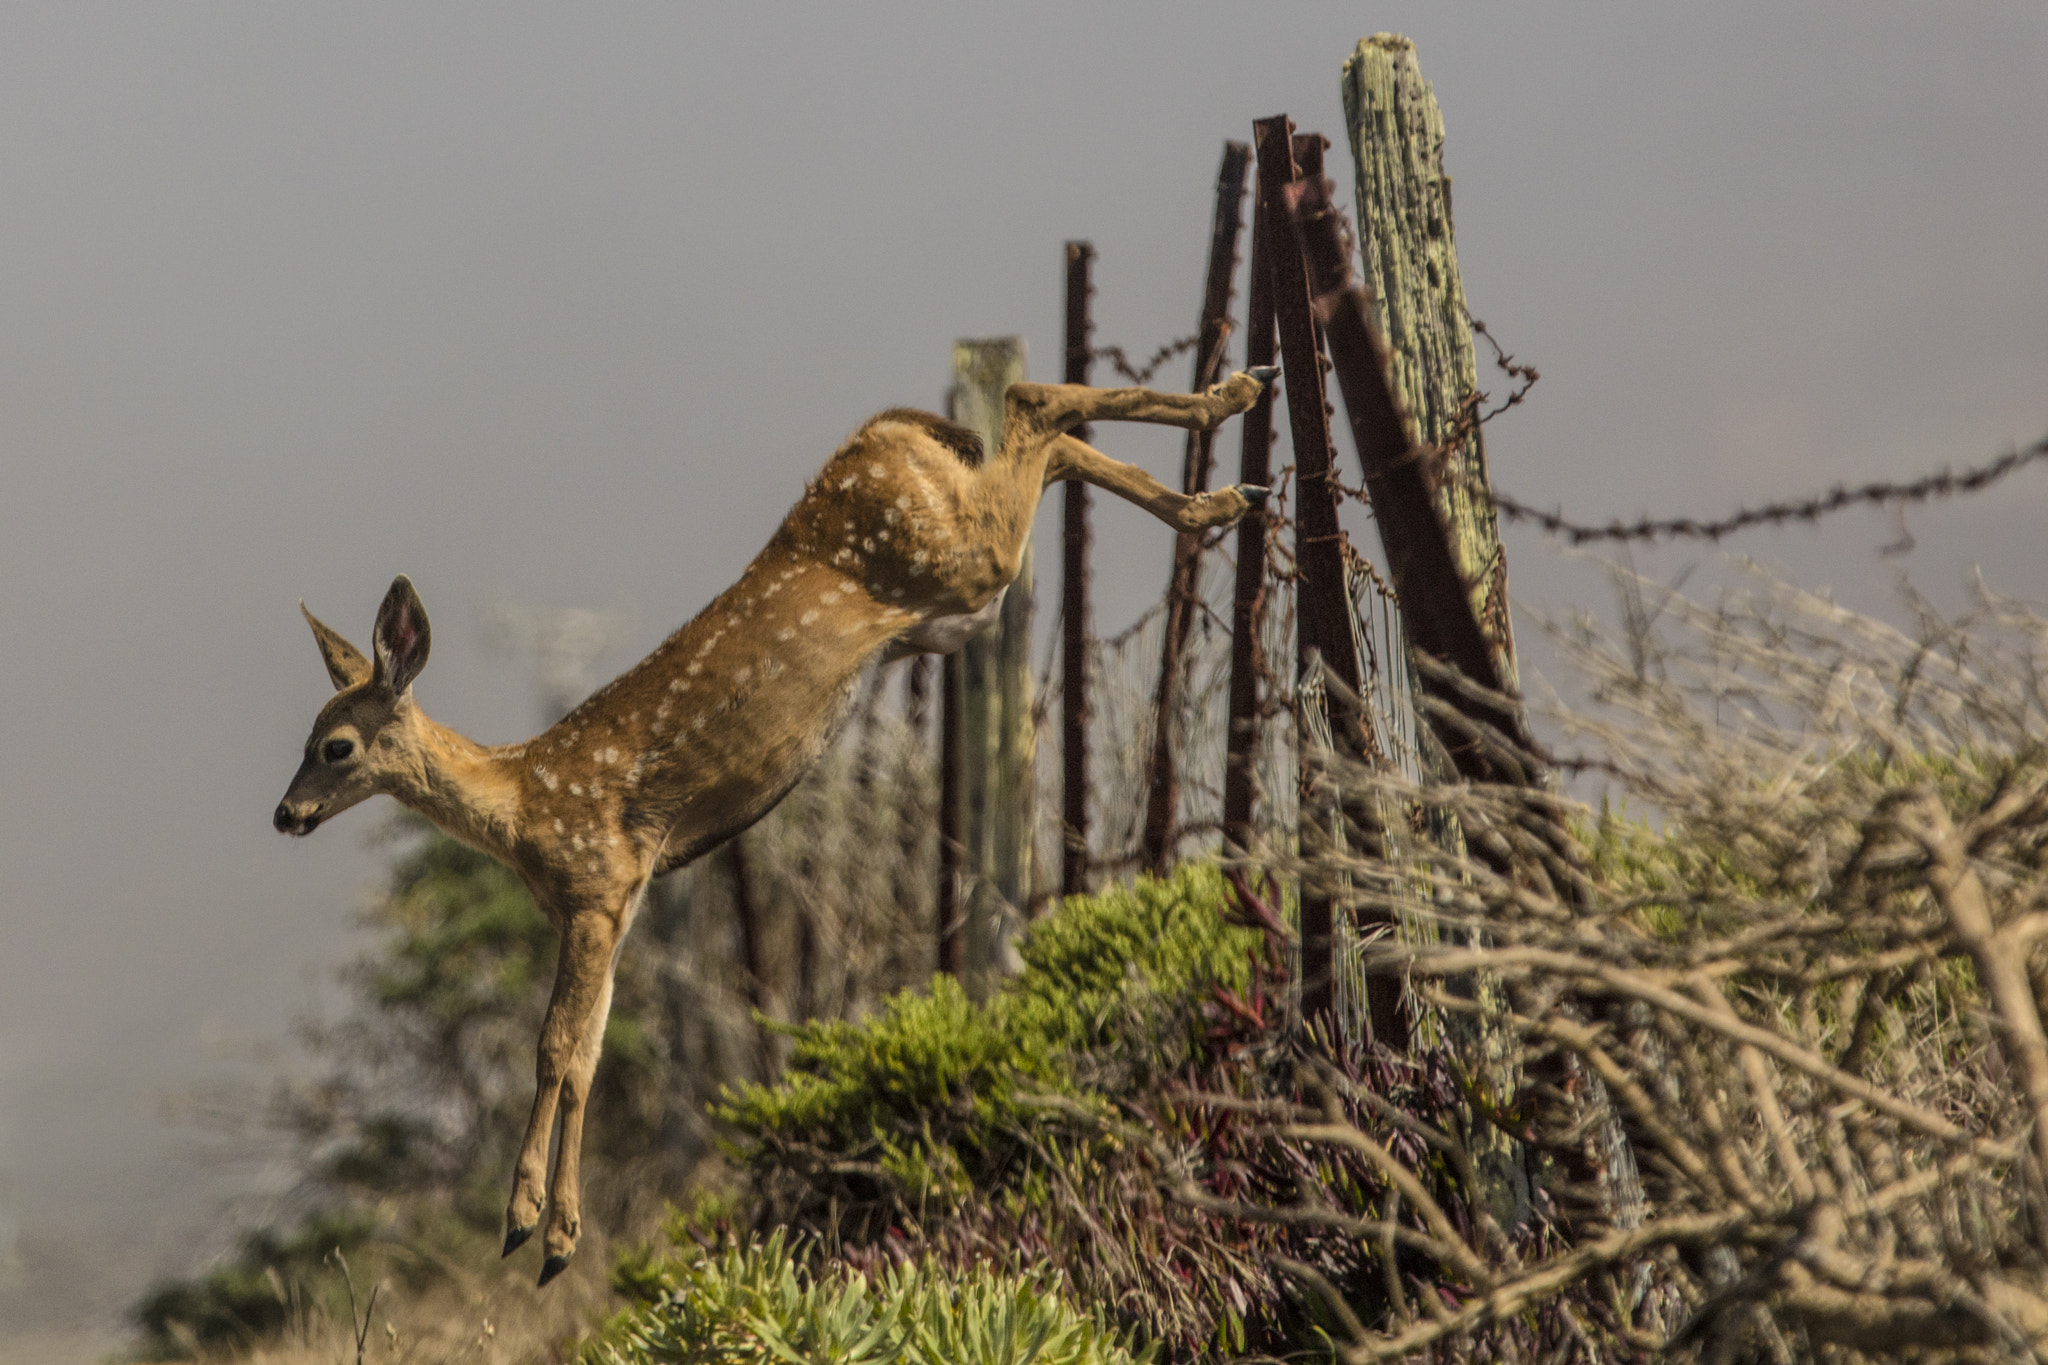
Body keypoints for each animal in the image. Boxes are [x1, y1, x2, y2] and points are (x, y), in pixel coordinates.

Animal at [268, 362, 1261, 1285]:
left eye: (336, 746)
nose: (284, 813)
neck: (524, 801)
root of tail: (888, 430)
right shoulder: (618, 905)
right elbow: (589, 1055)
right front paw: (559, 1239)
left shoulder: (597, 882)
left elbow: (552, 1049)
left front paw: (522, 1224)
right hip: (956, 578)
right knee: (1047, 432)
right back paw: (1224, 469)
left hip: (958, 556)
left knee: (1031, 414)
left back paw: (1229, 428)